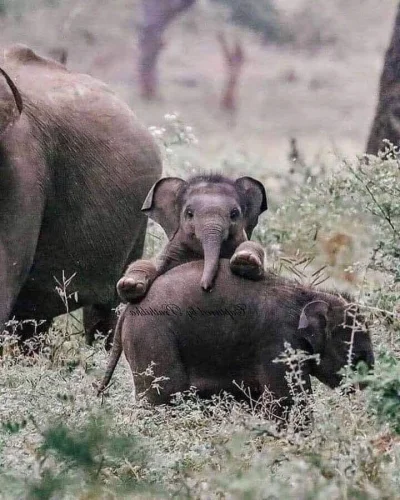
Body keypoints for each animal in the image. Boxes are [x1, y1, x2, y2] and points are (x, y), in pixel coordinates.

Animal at [98, 258, 374, 422]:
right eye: (356, 354)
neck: (307, 293)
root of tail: (127, 310)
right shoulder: (280, 342)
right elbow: (287, 401)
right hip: (152, 338)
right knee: (163, 398)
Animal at [117, 174, 268, 302]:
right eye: (189, 213)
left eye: (234, 214)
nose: (206, 287)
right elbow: (150, 263)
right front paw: (129, 284)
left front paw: (245, 260)